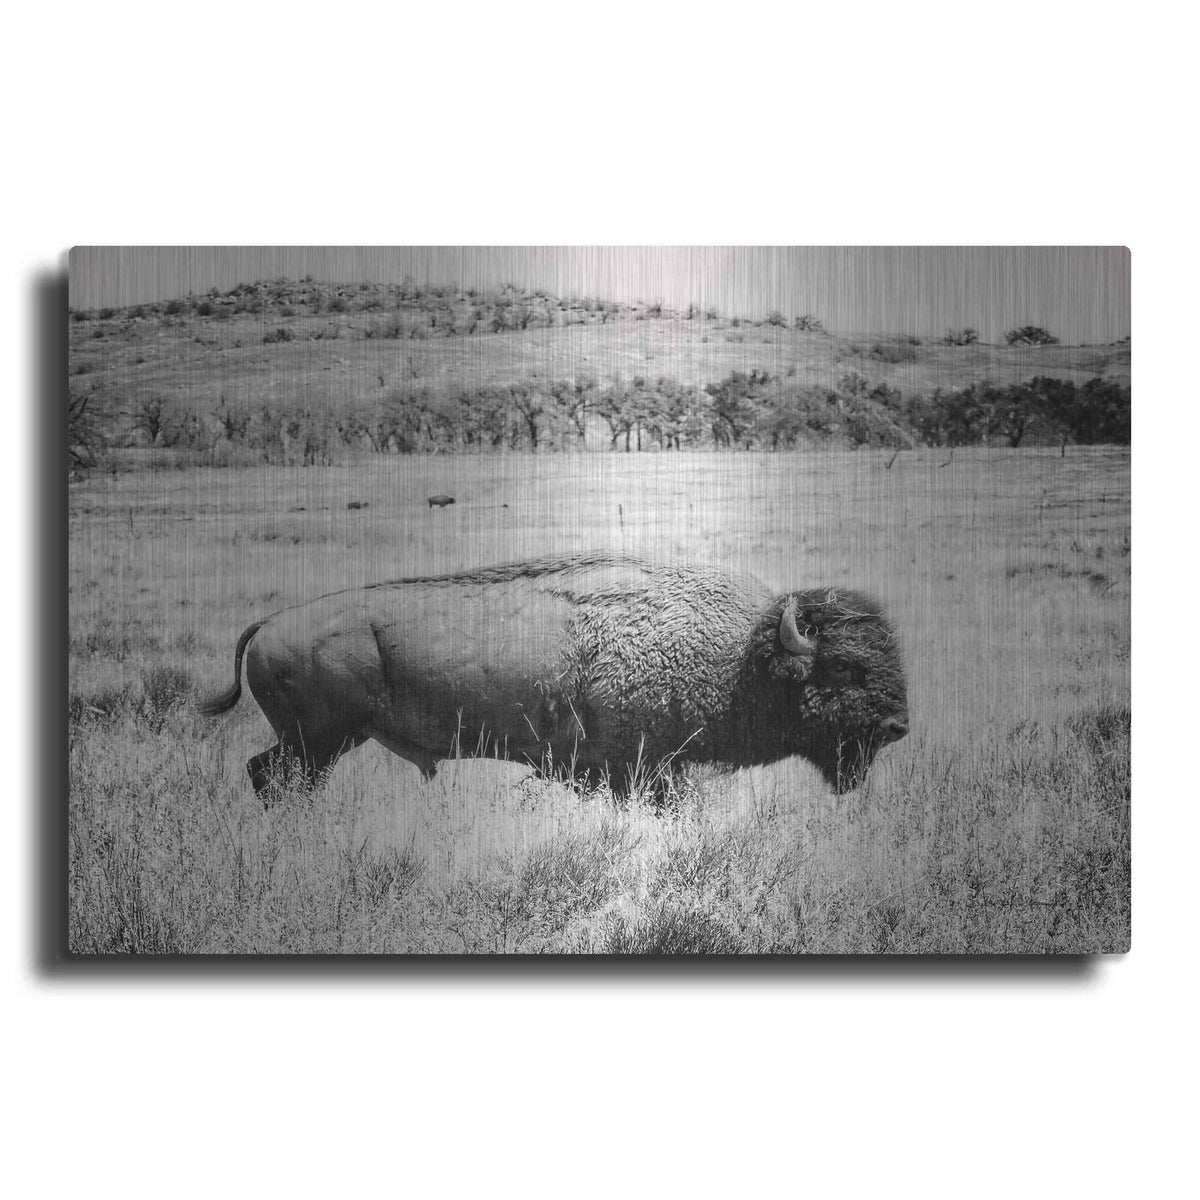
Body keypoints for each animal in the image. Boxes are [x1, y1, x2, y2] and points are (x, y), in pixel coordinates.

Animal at [201, 553, 908, 799]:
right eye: (844, 668)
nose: (899, 725)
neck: (741, 657)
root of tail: (270, 624)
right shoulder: (638, 770)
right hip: (317, 743)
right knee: (272, 778)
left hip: (316, 744)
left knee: (265, 774)